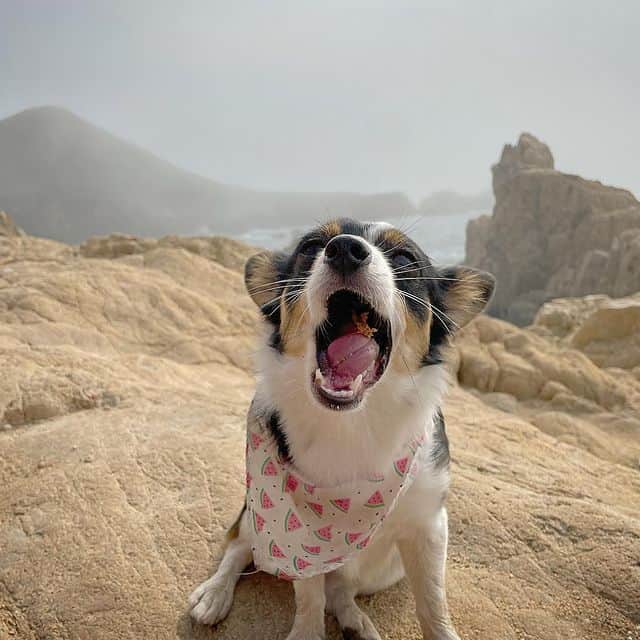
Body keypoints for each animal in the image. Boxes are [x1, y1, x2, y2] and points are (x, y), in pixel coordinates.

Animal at [188, 220, 498, 640]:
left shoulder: (429, 524)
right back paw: (215, 594)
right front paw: (306, 633)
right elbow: (308, 597)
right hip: (257, 513)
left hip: (387, 570)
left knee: (341, 589)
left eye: (404, 258)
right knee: (239, 545)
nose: (346, 250)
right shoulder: (300, 541)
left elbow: (433, 603)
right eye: (311, 246)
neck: (351, 424)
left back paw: (356, 621)